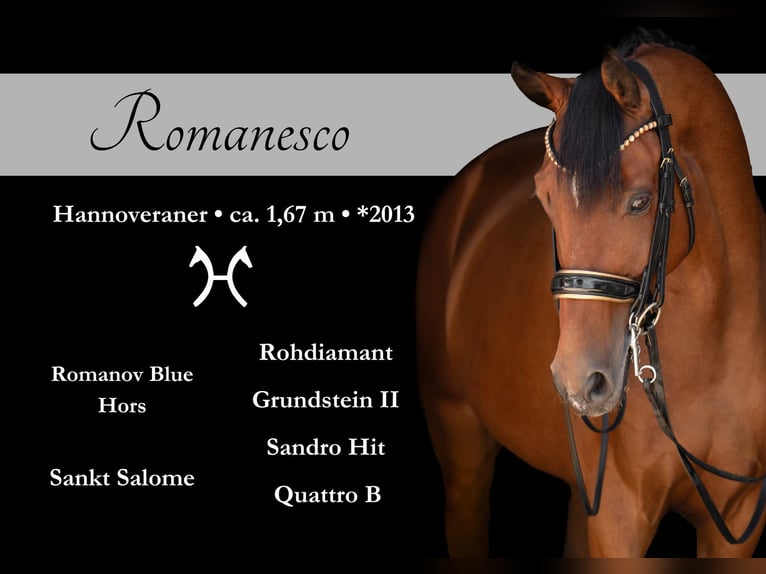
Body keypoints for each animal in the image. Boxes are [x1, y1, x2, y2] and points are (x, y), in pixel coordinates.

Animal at [416, 28, 765, 557]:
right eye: (544, 197)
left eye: (640, 201)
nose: (579, 381)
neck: (716, 342)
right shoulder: (621, 518)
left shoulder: (737, 520)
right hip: (460, 444)